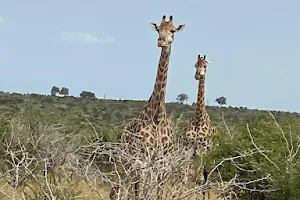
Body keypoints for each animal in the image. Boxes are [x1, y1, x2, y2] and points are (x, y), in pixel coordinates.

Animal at [118, 14, 185, 199]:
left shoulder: (162, 163)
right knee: (120, 190)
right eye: (158, 29)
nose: (161, 41)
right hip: (126, 162)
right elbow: (139, 194)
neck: (157, 116)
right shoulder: (141, 160)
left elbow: (158, 194)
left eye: (172, 30)